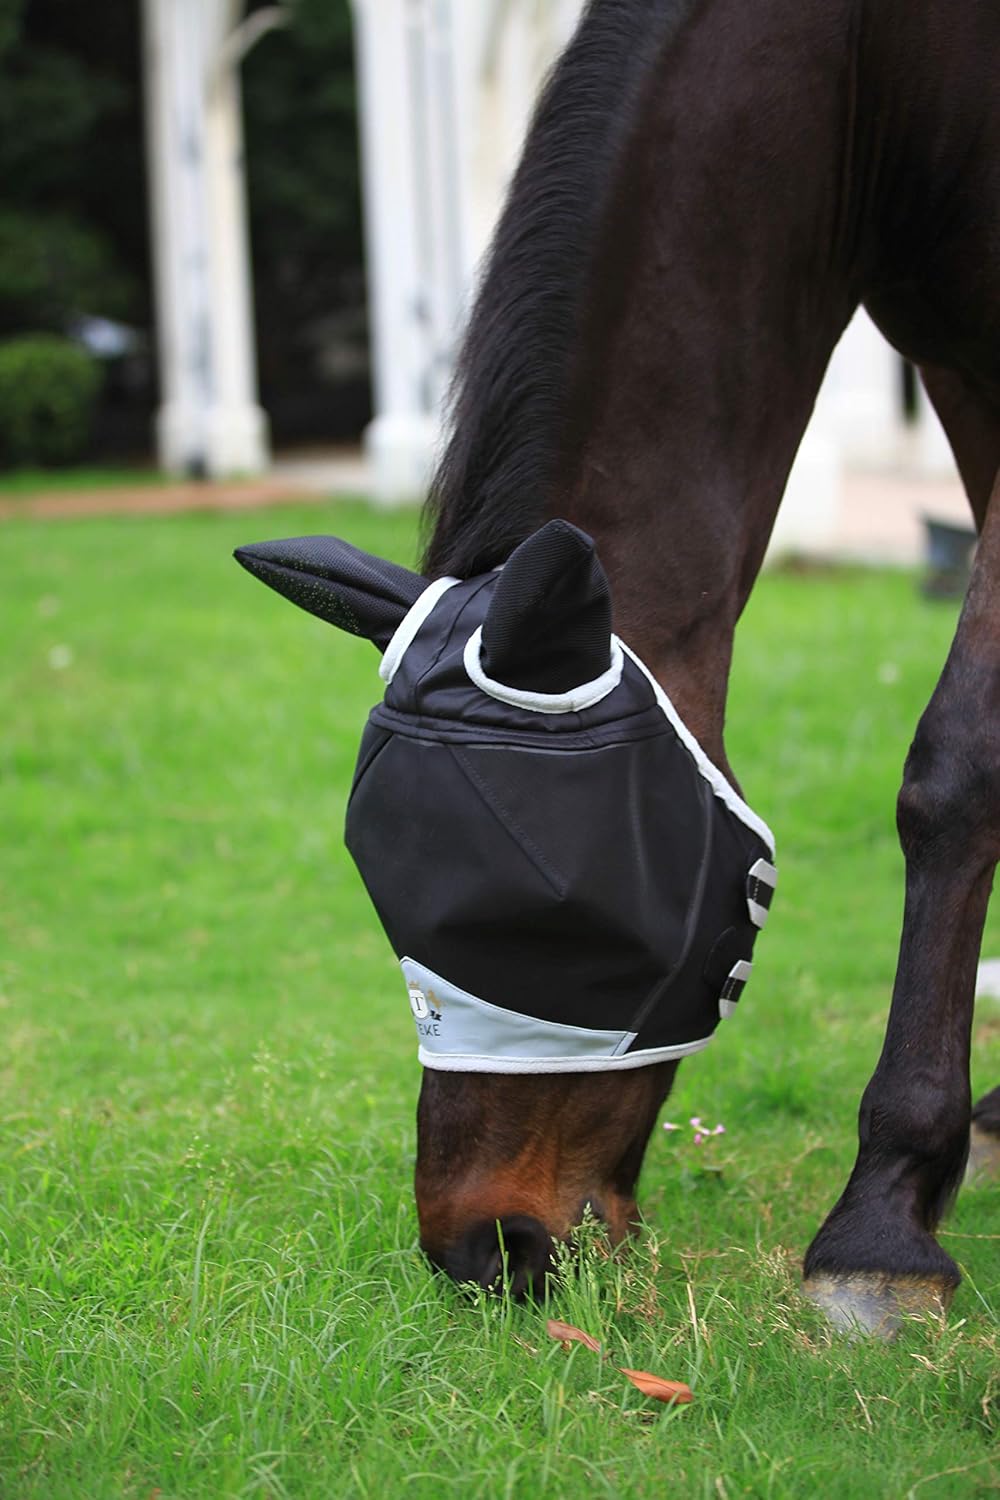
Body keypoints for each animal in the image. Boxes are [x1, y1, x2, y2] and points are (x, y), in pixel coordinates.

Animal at [239, 0, 1000, 1333]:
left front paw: (884, 1215)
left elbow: (960, 760)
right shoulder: (962, 360)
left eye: (565, 917)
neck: (888, 63)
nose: (480, 1246)